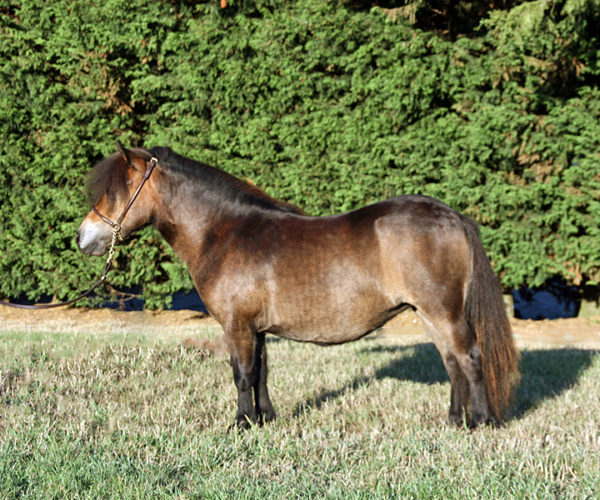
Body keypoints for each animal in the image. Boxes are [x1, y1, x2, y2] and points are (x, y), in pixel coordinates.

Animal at [77, 143, 520, 428]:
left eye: (114, 192)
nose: (82, 238)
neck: (224, 233)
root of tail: (451, 216)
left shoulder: (237, 326)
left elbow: (242, 375)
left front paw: (240, 425)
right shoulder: (256, 329)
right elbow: (260, 373)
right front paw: (265, 421)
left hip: (443, 312)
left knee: (469, 359)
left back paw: (481, 423)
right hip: (430, 314)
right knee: (452, 363)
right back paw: (454, 421)